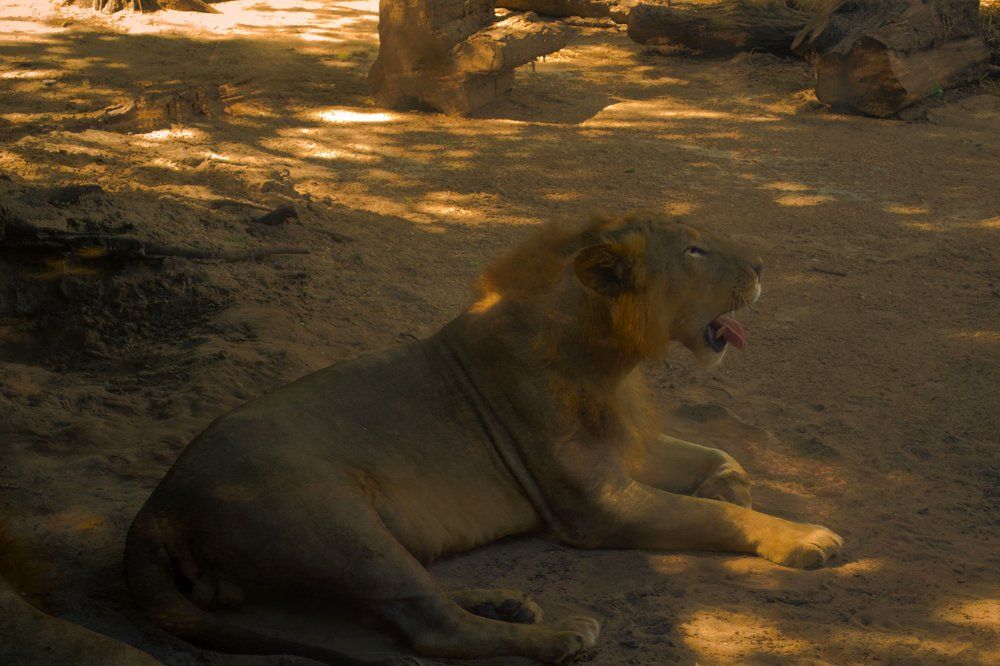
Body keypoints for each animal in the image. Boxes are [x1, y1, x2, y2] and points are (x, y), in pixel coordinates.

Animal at [125, 210, 843, 663]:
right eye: (694, 249)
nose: (761, 263)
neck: (606, 358)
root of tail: (156, 508)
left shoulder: (624, 451)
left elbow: (717, 457)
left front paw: (734, 484)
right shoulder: (597, 507)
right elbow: (712, 517)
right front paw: (802, 535)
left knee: (410, 597)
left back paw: (507, 603)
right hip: (333, 517)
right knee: (427, 626)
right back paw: (557, 636)